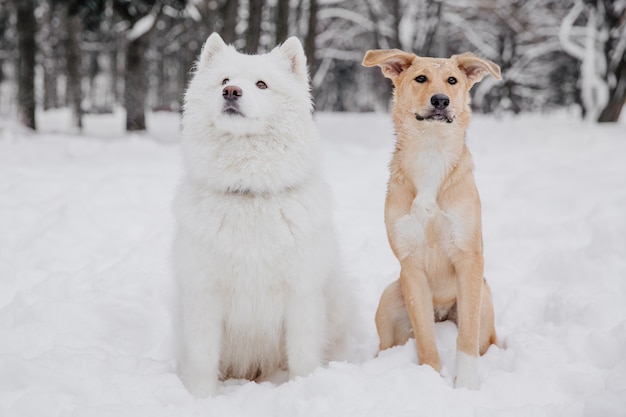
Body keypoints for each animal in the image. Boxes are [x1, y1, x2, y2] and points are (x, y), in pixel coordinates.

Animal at [172, 32, 352, 396]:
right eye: (224, 80)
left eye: (261, 84)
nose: (231, 92)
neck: (249, 192)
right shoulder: (203, 295)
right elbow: (202, 361)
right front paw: (200, 398)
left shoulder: (301, 295)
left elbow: (303, 357)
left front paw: (303, 389)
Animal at [364, 50, 500, 388]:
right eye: (420, 78)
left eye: (452, 80)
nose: (440, 100)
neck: (430, 150)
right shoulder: (410, 265)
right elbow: (425, 337)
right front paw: (430, 378)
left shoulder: (469, 259)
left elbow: (466, 338)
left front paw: (466, 384)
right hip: (389, 299)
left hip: (484, 300)